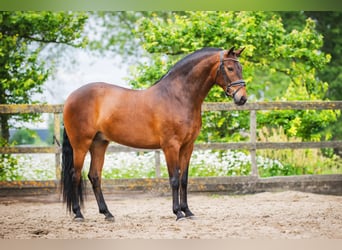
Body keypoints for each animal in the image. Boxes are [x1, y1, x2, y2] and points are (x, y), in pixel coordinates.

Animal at [61, 46, 246, 222]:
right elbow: (174, 179)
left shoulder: (188, 146)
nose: (242, 98)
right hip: (81, 144)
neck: (178, 97)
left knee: (94, 176)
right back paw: (78, 214)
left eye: (241, 67)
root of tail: (70, 97)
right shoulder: (171, 146)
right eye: (230, 68)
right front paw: (178, 213)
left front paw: (188, 211)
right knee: (75, 175)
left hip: (99, 143)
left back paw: (107, 213)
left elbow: (184, 179)